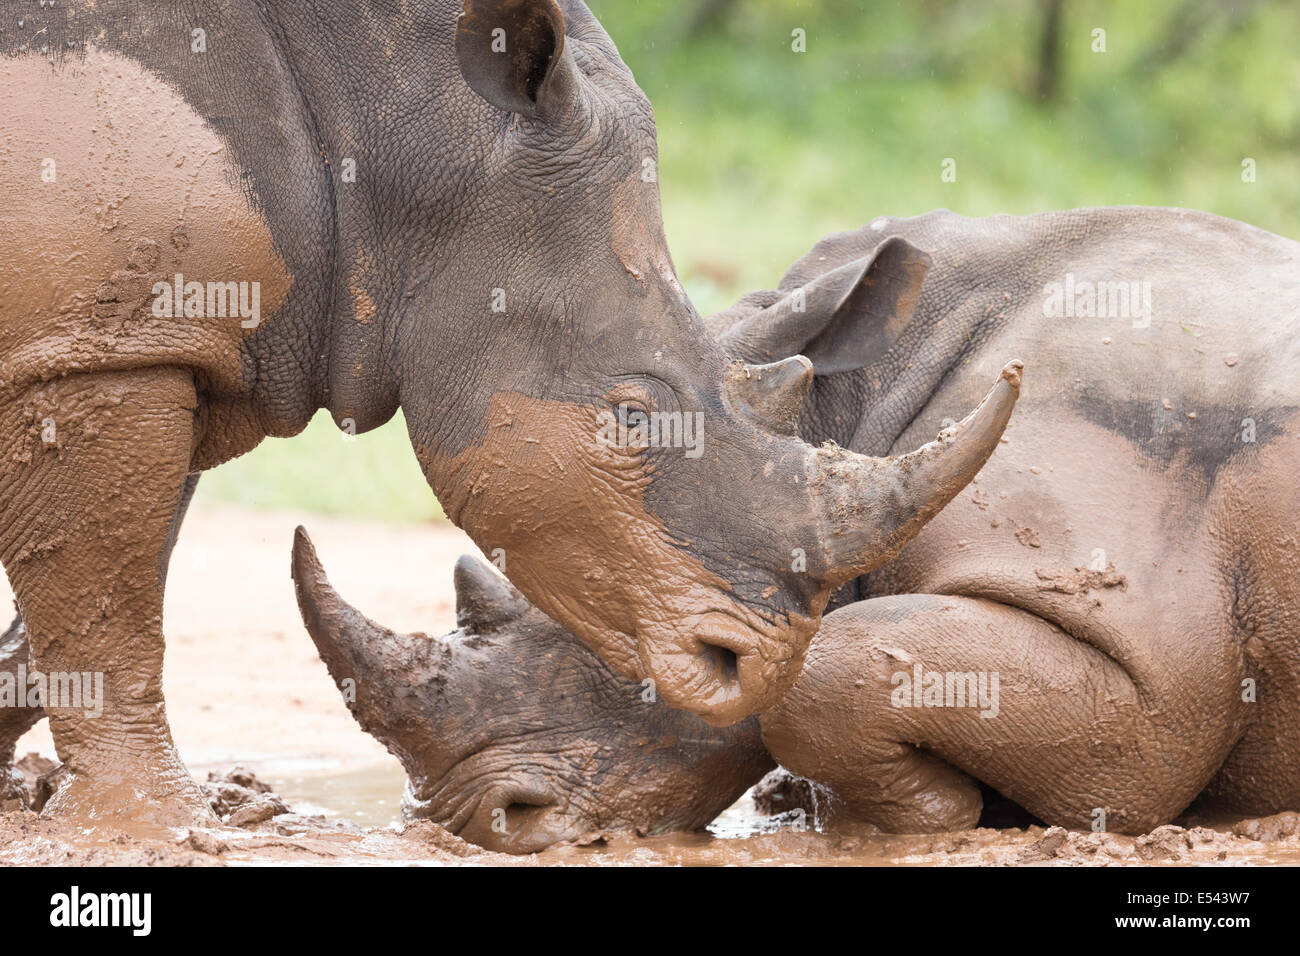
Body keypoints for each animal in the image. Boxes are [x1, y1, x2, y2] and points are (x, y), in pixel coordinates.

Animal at [0, 1, 1013, 832]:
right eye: (631, 418)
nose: (753, 664)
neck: (401, 132)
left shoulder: (139, 341)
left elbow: (91, 586)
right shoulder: (105, 344)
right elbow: (110, 603)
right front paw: (155, 826)